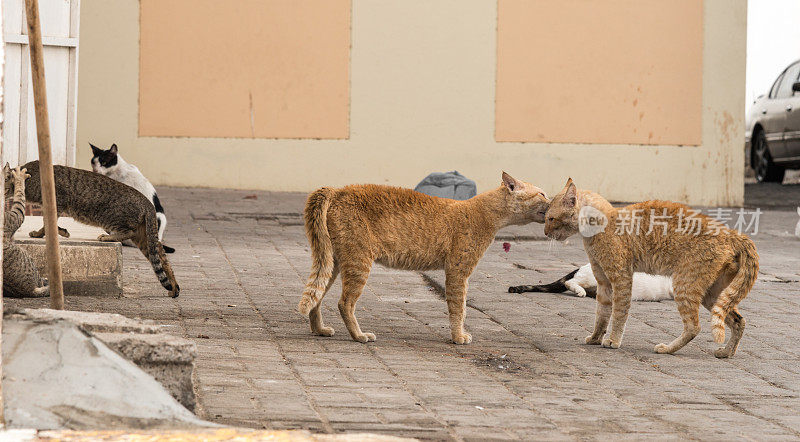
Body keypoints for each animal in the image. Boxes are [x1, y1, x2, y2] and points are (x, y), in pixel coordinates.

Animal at [12, 160, 178, 296]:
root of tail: (147, 202)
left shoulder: (57, 204)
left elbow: (48, 224)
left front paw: (42, 233)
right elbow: (51, 225)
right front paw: (60, 232)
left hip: (113, 221)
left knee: (128, 233)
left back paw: (108, 237)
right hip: (146, 240)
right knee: (163, 258)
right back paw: (174, 287)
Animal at [298, 173, 552, 346]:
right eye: (542, 193)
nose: (551, 202)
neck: (484, 213)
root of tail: (337, 190)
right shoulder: (458, 271)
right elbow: (458, 308)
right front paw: (458, 336)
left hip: (333, 262)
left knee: (316, 297)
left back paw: (320, 330)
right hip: (358, 261)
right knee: (344, 303)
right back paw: (359, 335)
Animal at [544, 178, 756, 358]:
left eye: (551, 218)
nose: (545, 232)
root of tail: (732, 234)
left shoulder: (621, 279)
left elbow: (619, 312)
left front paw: (613, 340)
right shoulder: (603, 283)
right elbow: (601, 315)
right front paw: (596, 338)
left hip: (685, 286)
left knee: (694, 327)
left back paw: (668, 348)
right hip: (713, 295)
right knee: (738, 321)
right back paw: (727, 352)